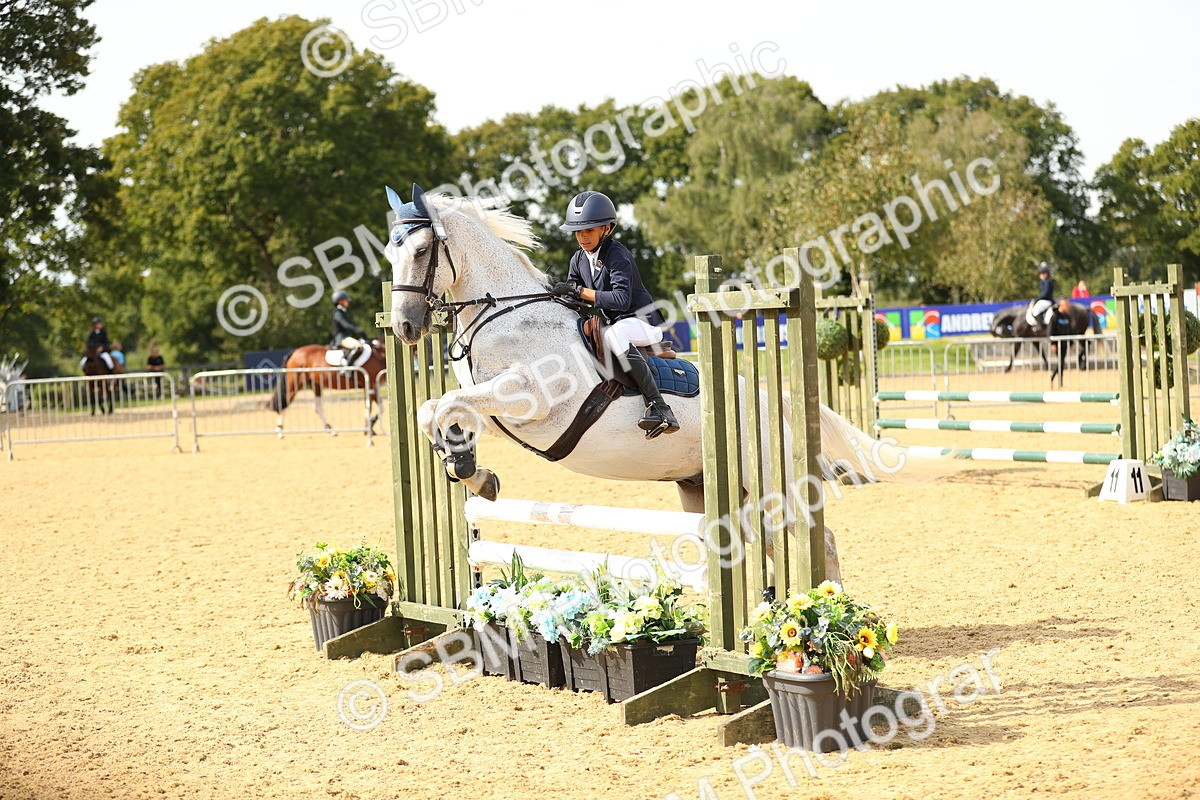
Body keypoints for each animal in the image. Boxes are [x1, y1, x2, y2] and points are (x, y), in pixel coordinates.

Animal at [385, 188, 923, 581]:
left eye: (421, 250)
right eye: (391, 254)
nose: (405, 327)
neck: (505, 313)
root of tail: (777, 399)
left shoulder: (530, 398)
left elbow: (446, 405)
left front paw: (471, 470)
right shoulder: (494, 411)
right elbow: (436, 409)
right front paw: (469, 468)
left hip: (775, 484)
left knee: (819, 541)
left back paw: (831, 611)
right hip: (708, 488)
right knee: (761, 542)